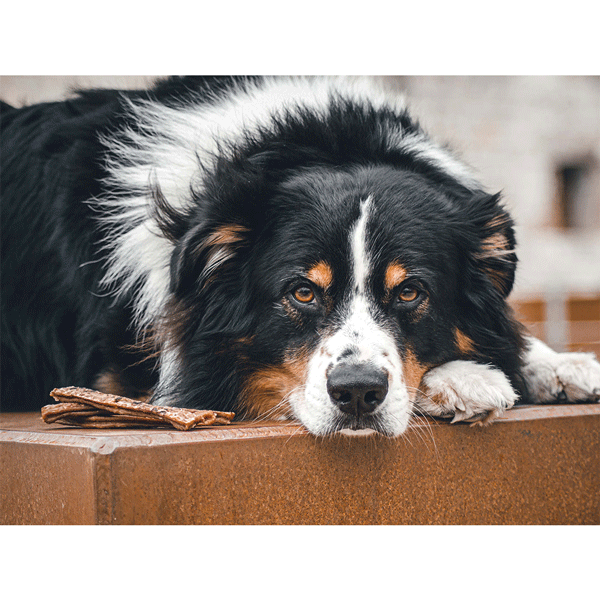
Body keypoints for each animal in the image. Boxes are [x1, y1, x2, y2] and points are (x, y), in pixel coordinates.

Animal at [1, 76, 600, 436]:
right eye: (303, 292)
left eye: (410, 291)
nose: (357, 393)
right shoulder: (123, 376)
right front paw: (470, 379)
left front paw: (558, 363)